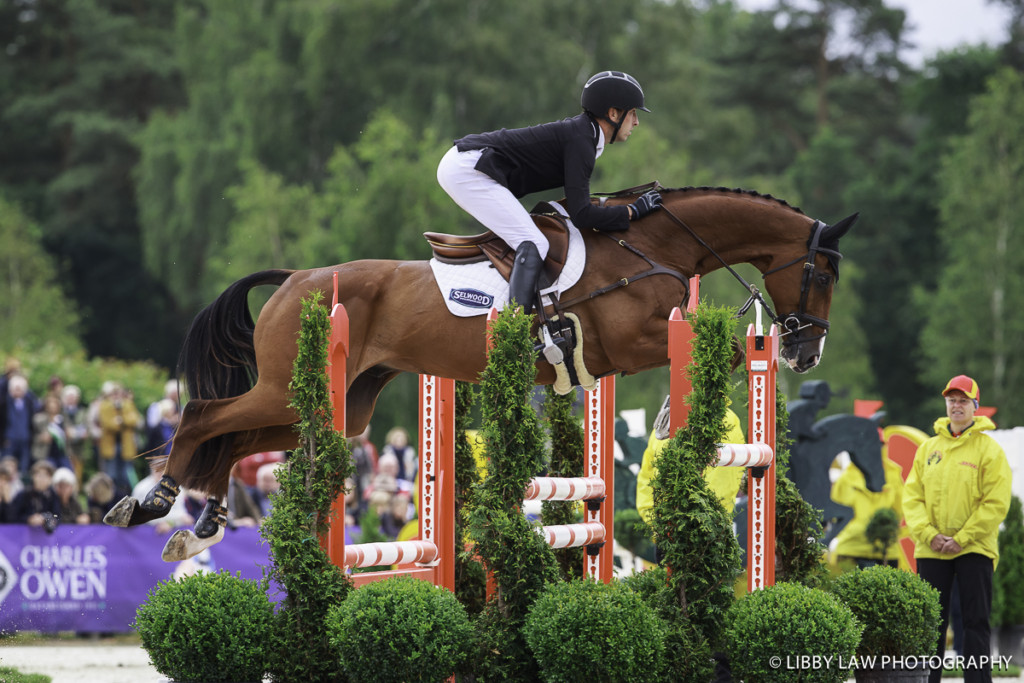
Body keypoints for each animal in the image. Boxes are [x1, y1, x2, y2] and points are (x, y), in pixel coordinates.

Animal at [103, 184, 856, 557]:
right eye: (822, 274)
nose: (805, 353)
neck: (651, 243)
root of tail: (295, 280)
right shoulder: (632, 340)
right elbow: (717, 352)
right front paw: (676, 420)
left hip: (335, 406)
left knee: (234, 438)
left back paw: (198, 523)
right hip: (284, 388)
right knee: (203, 416)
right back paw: (153, 501)